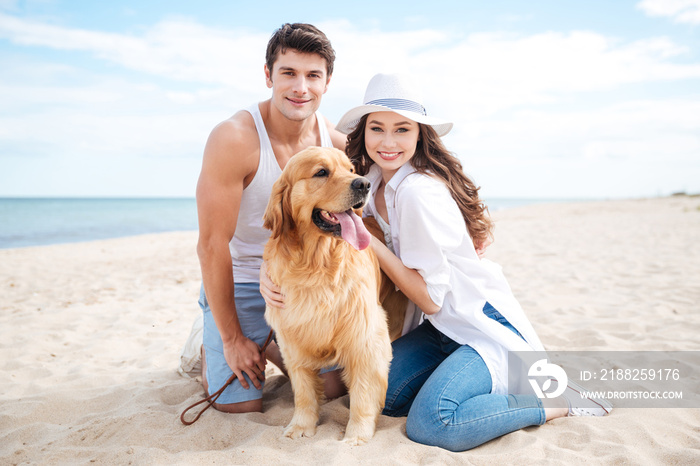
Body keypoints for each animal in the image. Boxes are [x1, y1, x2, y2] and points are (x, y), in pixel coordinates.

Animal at [262, 147, 394, 446]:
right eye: (321, 172)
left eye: (351, 169)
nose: (364, 184)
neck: (316, 265)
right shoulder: (292, 338)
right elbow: (303, 391)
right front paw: (301, 426)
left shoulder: (365, 338)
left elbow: (363, 392)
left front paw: (357, 435)